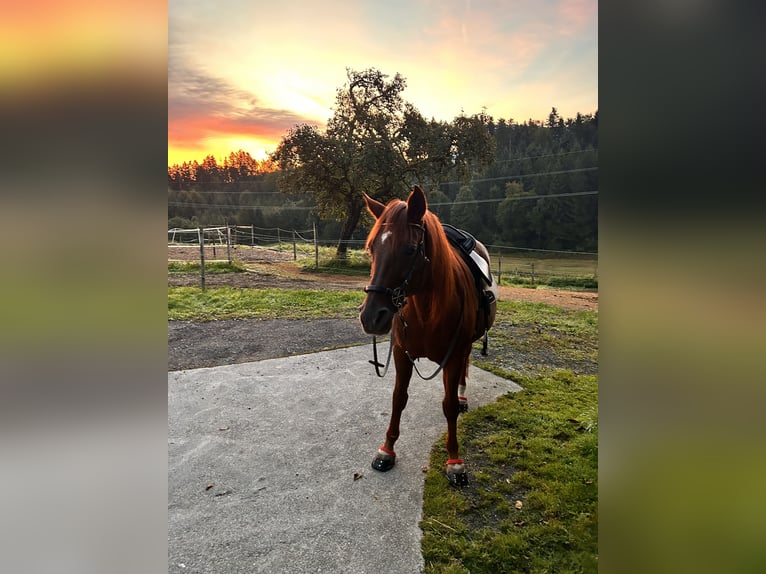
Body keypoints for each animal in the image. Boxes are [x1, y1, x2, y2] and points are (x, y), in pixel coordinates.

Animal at [360, 184, 498, 486]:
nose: (371, 316)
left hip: (465, 346)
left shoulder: (453, 356)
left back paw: (462, 396)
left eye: (410, 250)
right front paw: (386, 450)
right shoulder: (401, 354)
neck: (427, 311)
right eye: (372, 248)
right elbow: (398, 399)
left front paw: (455, 461)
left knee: (464, 370)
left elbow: (448, 405)